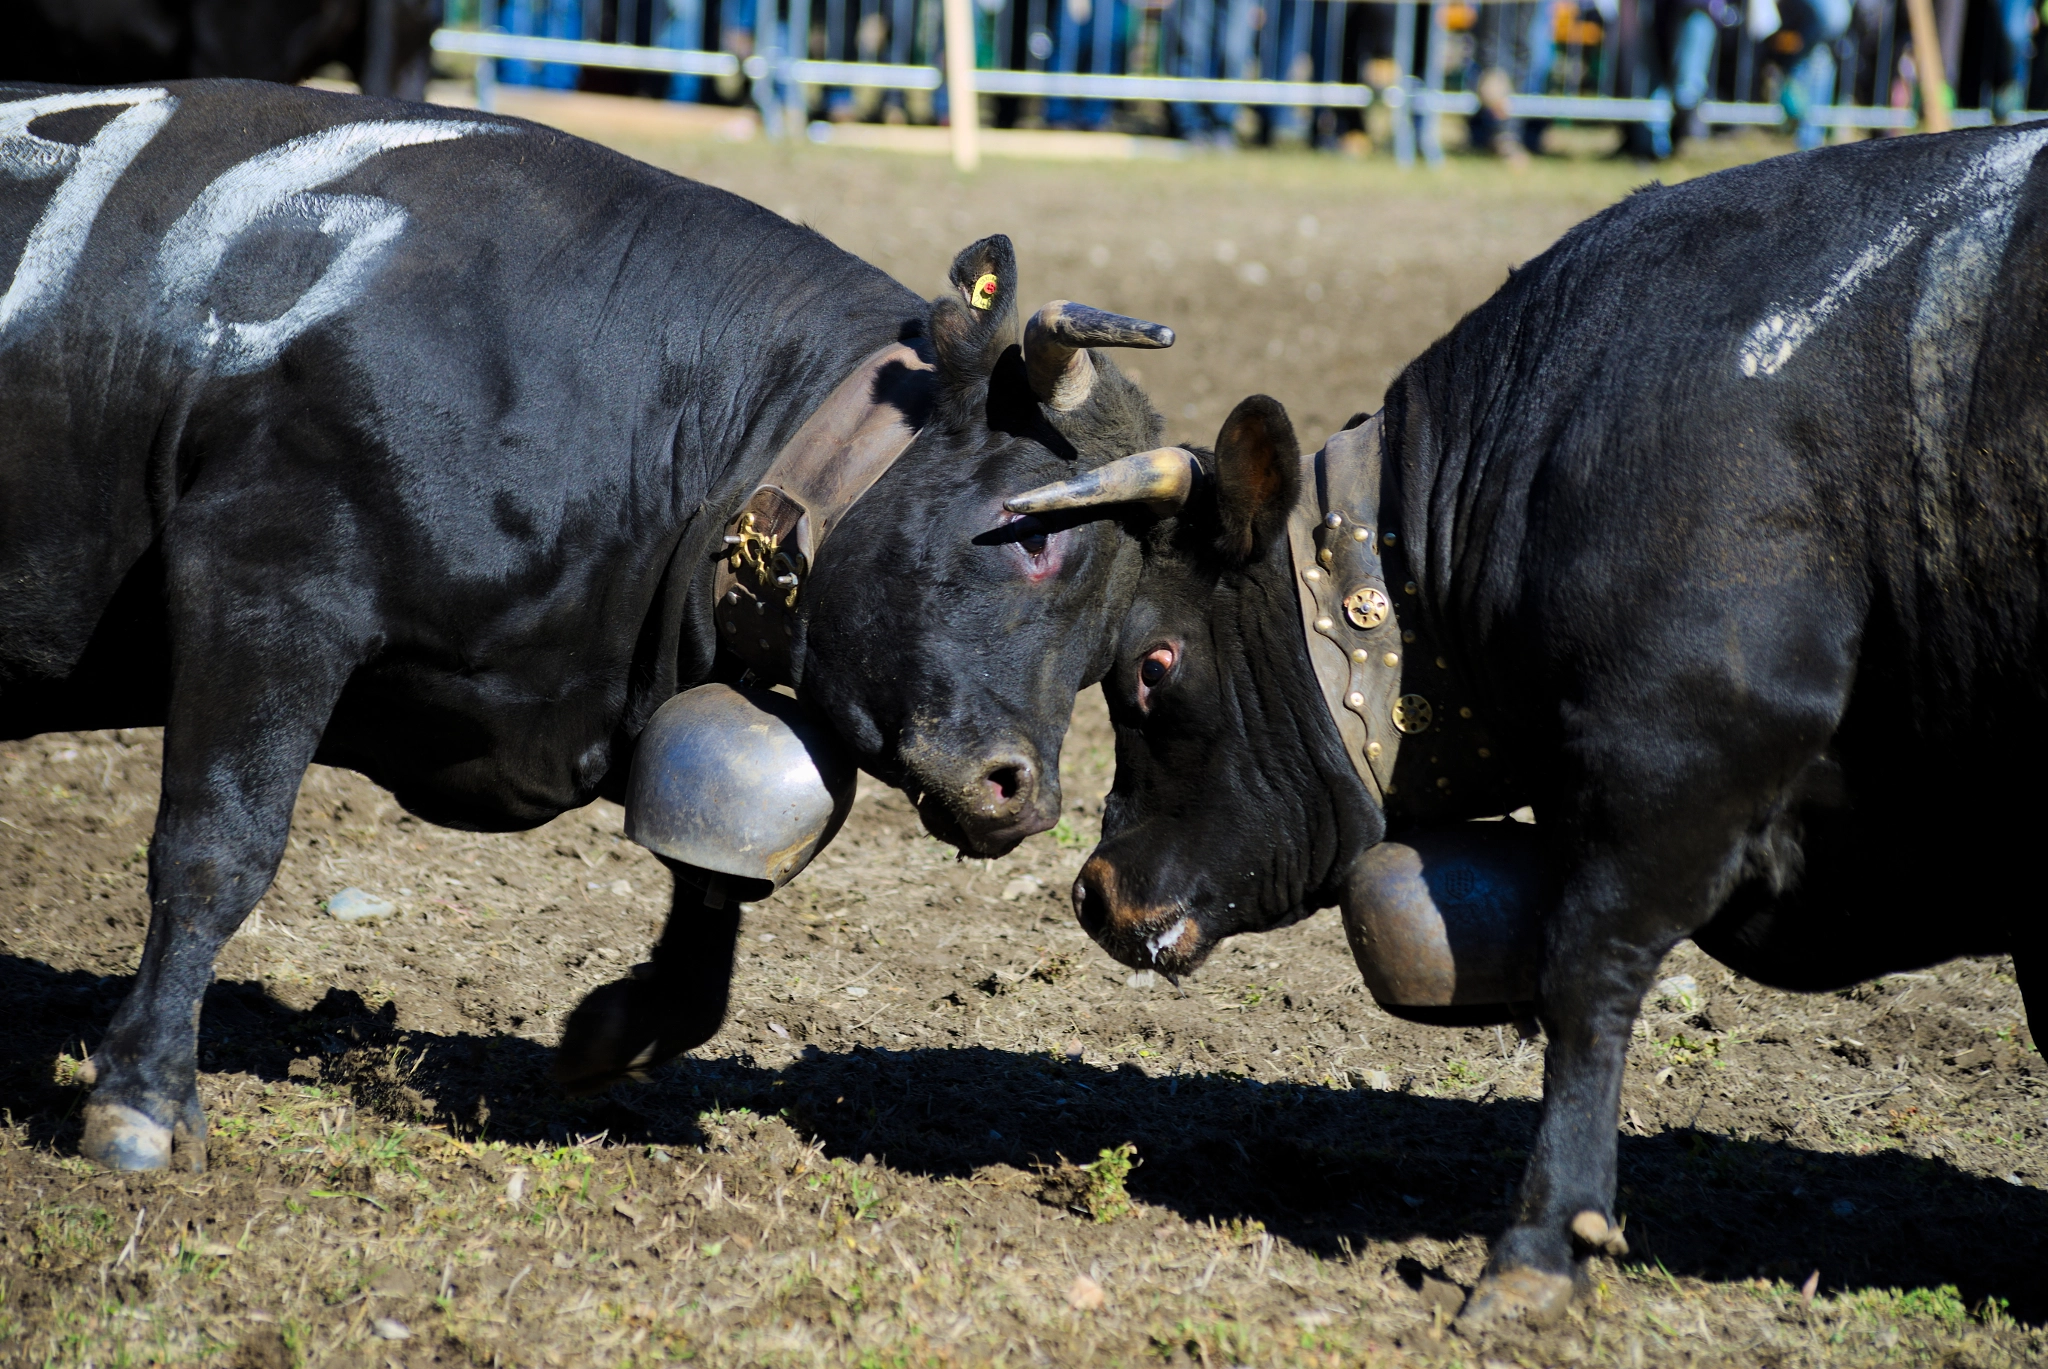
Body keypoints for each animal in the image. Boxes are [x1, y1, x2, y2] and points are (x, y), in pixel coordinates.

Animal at [0, 83, 1179, 1180]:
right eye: (1034, 536)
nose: (1024, 794)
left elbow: (714, 888)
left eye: (1120, 636)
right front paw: (145, 1099)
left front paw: (611, 1032)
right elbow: (217, 849)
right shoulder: (262, 578)